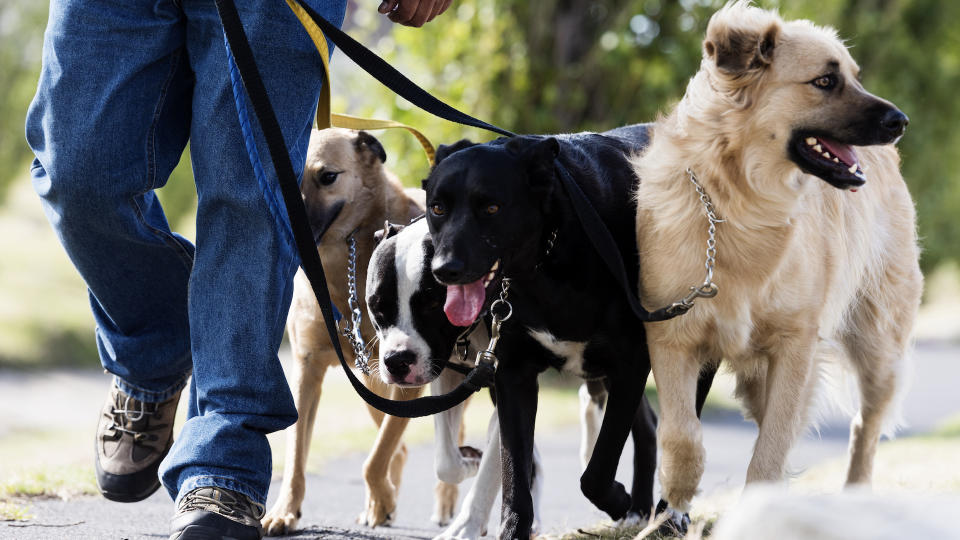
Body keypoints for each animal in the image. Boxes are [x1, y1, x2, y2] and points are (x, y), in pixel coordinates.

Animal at [260, 127, 452, 536]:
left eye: (328, 176)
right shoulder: (307, 369)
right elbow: (296, 452)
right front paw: (285, 511)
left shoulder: (409, 378)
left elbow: (375, 456)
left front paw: (384, 497)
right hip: (369, 383)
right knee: (400, 446)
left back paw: (443, 503)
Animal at [424, 124, 716, 536]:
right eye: (437, 208)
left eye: (492, 208)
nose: (444, 269)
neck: (551, 252)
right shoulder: (514, 375)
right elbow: (516, 475)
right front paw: (514, 530)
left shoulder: (630, 365)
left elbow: (597, 468)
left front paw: (617, 499)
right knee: (648, 427)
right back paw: (640, 509)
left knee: (682, 434)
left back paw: (667, 514)